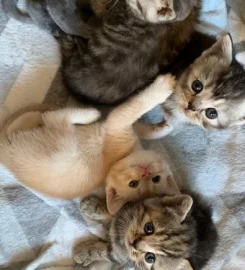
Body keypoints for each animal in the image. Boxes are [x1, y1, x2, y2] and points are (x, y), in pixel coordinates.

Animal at [0, 74, 177, 213]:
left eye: (155, 179)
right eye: (133, 183)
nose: (146, 172)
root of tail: (5, 155)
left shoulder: (117, 126)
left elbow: (136, 118)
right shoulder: (117, 123)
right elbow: (137, 109)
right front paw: (162, 94)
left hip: (60, 138)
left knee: (36, 121)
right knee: (48, 117)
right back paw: (88, 114)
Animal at [74, 192, 218, 270]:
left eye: (150, 258)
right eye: (149, 228)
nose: (133, 244)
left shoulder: (123, 257)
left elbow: (107, 253)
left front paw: (83, 254)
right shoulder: (129, 206)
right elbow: (114, 211)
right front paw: (92, 206)